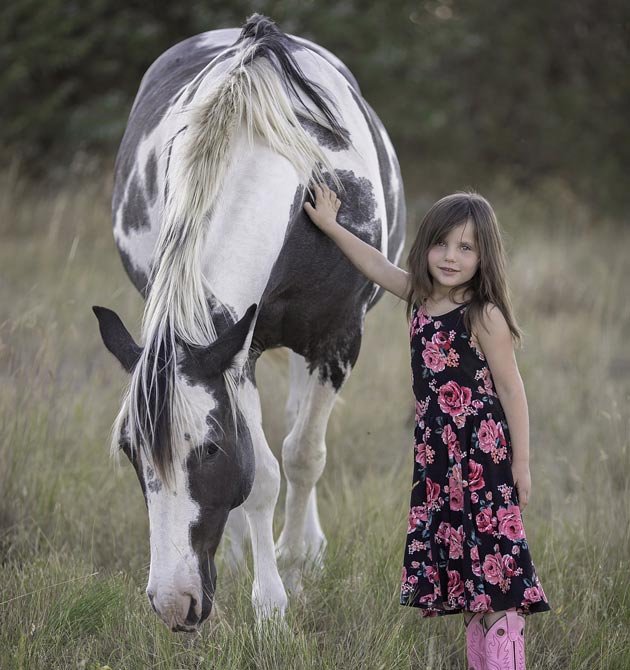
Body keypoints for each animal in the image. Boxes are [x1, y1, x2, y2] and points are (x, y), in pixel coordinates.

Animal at [93, 14, 405, 632]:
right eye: (131, 452)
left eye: (210, 449)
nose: (174, 604)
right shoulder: (242, 347)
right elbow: (261, 475)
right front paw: (270, 603)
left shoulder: (338, 341)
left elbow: (304, 455)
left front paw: (297, 566)